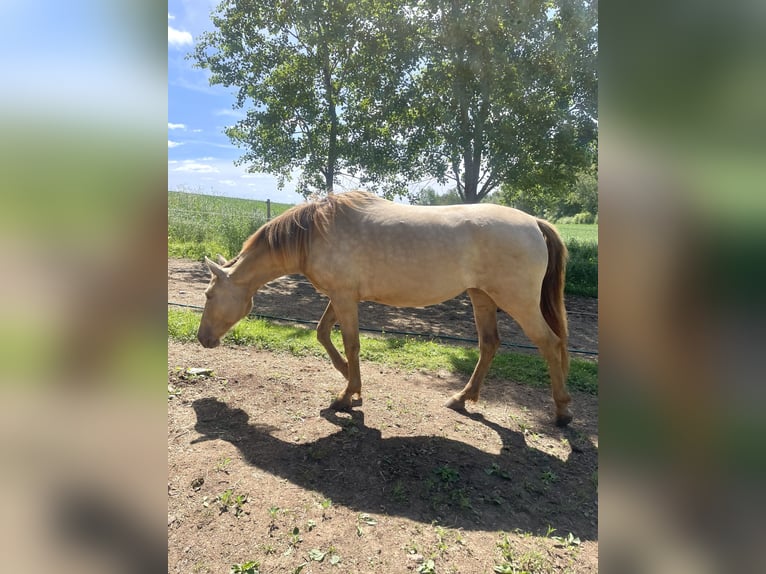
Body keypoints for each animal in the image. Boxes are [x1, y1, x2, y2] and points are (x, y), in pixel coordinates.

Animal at [200, 192, 576, 428]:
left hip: (518, 302)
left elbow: (351, 344)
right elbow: (323, 333)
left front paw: (346, 395)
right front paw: (348, 380)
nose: (202, 338)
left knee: (550, 343)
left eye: (208, 294)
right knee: (489, 345)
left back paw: (562, 411)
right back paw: (462, 398)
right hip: (481, 297)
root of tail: (534, 222)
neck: (315, 232)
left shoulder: (344, 298)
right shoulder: (341, 296)